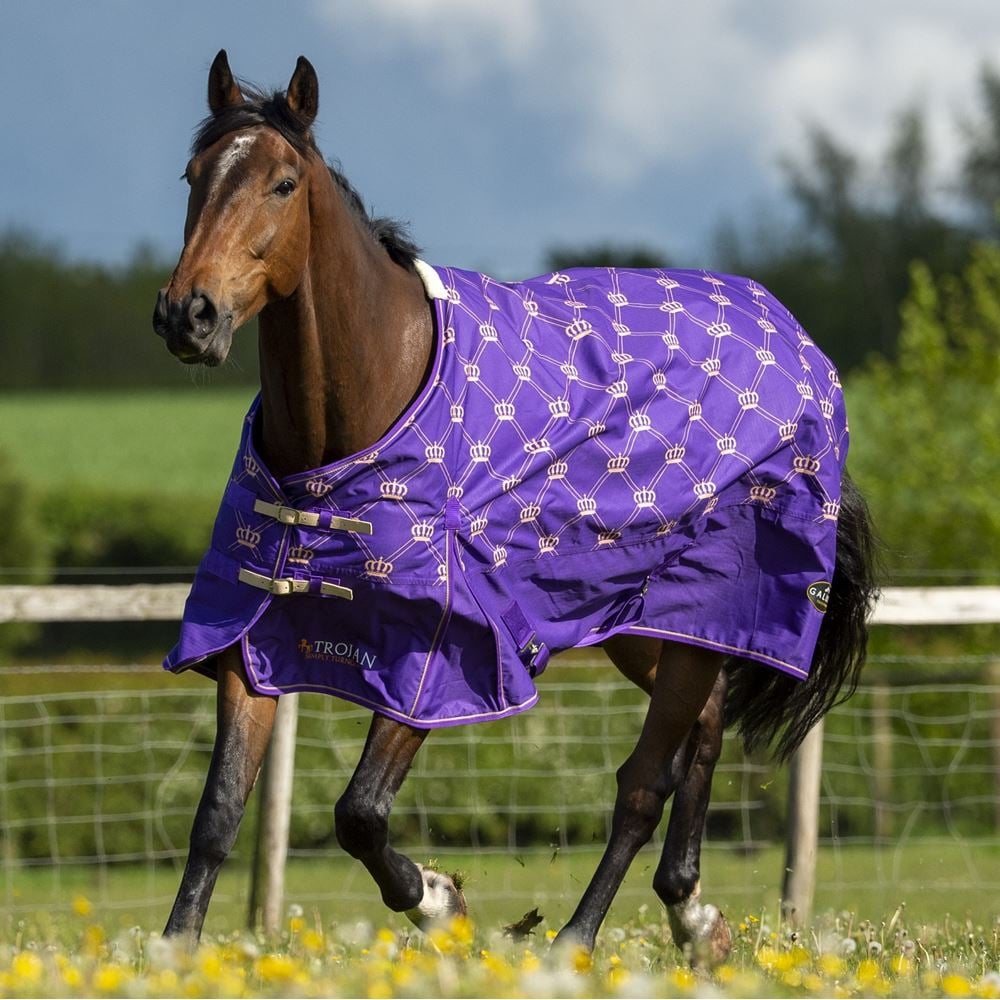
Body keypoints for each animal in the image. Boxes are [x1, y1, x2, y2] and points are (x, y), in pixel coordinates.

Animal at [150, 48, 876, 960]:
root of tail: (799, 343)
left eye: (283, 183)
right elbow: (218, 812)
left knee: (644, 783)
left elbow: (360, 814)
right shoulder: (248, 630)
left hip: (707, 604)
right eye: (193, 175)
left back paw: (577, 940)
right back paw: (693, 915)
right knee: (703, 734)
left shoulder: (442, 652)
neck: (363, 415)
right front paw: (175, 952)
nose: (188, 314)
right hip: (645, 626)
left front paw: (439, 900)